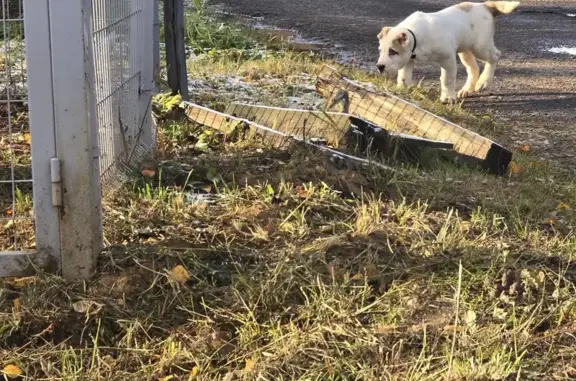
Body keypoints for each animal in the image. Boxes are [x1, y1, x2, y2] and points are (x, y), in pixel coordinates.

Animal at [376, 1, 520, 102]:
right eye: (380, 51)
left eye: (392, 51)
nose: (379, 66)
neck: (417, 36)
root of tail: (485, 5)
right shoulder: (408, 60)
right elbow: (403, 76)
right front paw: (400, 89)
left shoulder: (447, 59)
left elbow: (447, 79)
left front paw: (447, 98)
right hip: (465, 50)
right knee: (473, 68)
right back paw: (467, 89)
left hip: (480, 47)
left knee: (495, 56)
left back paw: (483, 82)